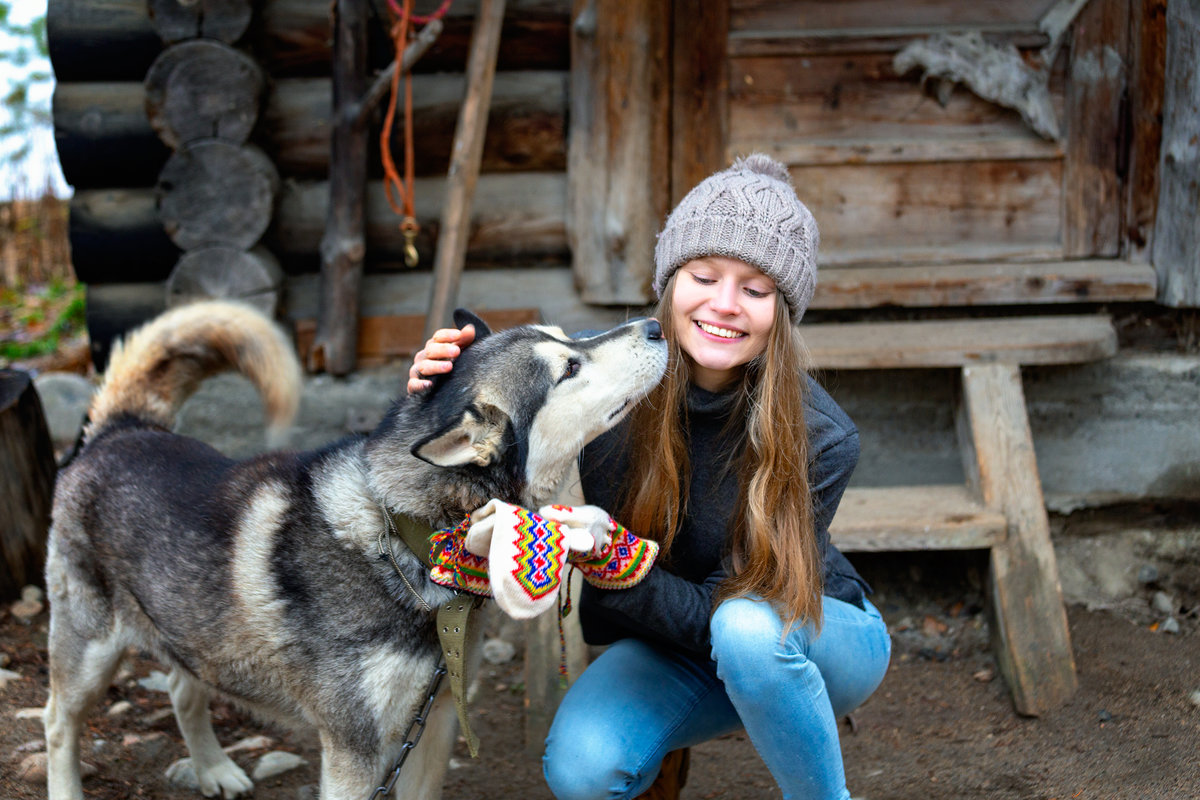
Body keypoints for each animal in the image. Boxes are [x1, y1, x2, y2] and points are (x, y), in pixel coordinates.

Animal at [46, 302, 667, 800]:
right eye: (569, 369)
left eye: (570, 339)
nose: (656, 325)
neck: (409, 538)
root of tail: (121, 429)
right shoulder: (354, 749)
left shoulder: (434, 722)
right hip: (89, 653)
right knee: (57, 723)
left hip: (192, 633)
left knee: (181, 688)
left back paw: (213, 768)